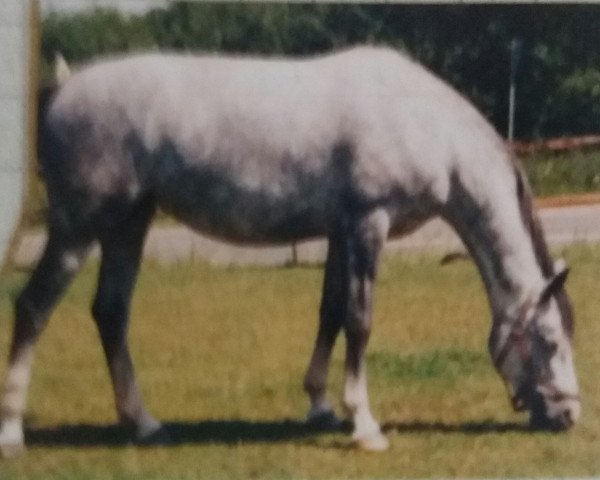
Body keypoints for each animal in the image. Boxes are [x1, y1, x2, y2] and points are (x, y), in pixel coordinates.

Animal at [0, 45, 580, 454]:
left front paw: (322, 407)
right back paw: (12, 433)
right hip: (79, 228)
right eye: (551, 342)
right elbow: (360, 322)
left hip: (128, 224)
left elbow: (330, 314)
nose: (569, 416)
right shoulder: (367, 223)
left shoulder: (341, 233)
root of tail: (65, 88)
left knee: (111, 313)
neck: (421, 122)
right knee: (34, 308)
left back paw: (145, 425)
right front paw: (365, 426)